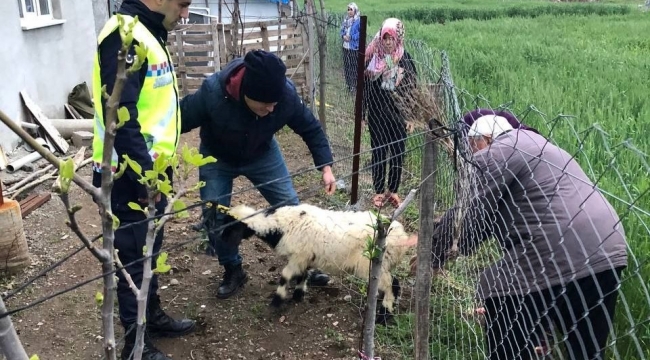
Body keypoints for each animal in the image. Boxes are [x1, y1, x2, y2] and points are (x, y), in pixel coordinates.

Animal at [220, 202, 418, 324]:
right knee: (393, 283)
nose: (219, 242)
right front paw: (298, 295)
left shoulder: (298, 256)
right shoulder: (305, 257)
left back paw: (384, 316)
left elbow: (285, 276)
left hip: (371, 263)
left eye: (231, 227)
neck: (280, 226)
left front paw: (277, 301)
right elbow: (302, 276)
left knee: (391, 285)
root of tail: (402, 237)